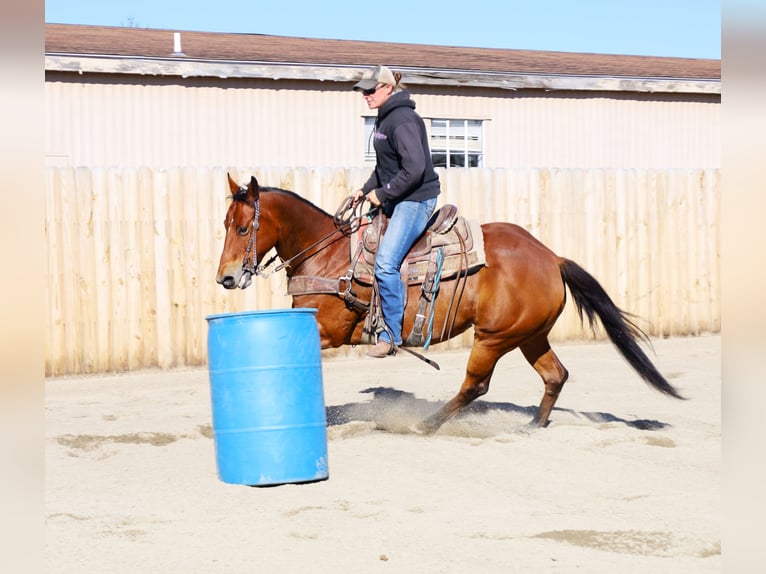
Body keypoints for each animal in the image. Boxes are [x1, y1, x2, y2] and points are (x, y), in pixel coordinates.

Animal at [215, 174, 683, 433]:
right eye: (225, 224)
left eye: (243, 228)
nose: (226, 277)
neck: (327, 255)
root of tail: (552, 258)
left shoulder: (327, 330)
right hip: (530, 336)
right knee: (556, 375)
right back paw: (533, 425)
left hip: (493, 338)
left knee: (475, 385)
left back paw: (424, 425)